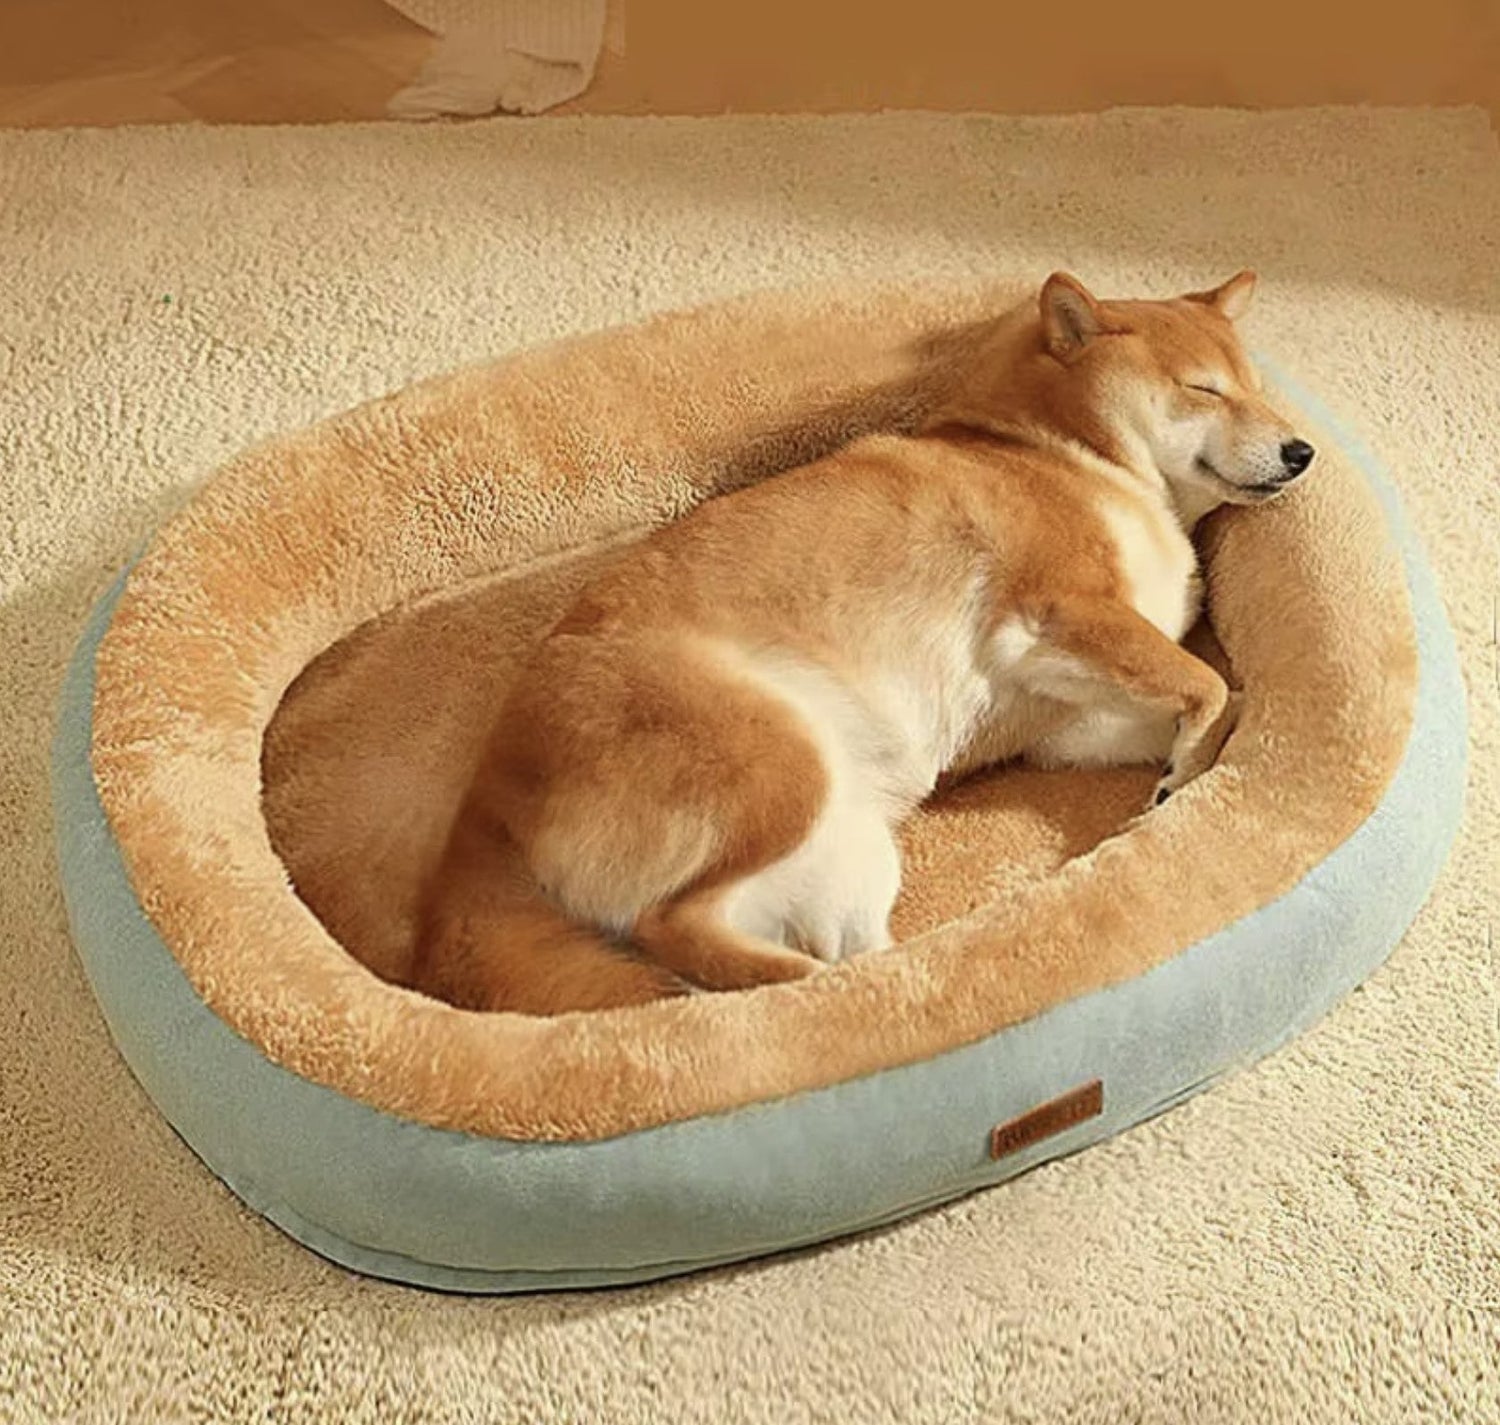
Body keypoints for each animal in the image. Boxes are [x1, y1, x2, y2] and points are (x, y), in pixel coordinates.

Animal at [411, 273, 1314, 1014]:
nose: (1302, 450)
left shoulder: (1070, 719)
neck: (1069, 455)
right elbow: (1206, 683)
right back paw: (792, 985)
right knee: (672, 925)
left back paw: (886, 980)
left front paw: (1182, 770)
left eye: (1256, 389)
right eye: (1204, 389)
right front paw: (1185, 771)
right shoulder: (1062, 610)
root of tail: (486, 809)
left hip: (847, 855)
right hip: (777, 765)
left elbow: (1221, 696)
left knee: (817, 951)